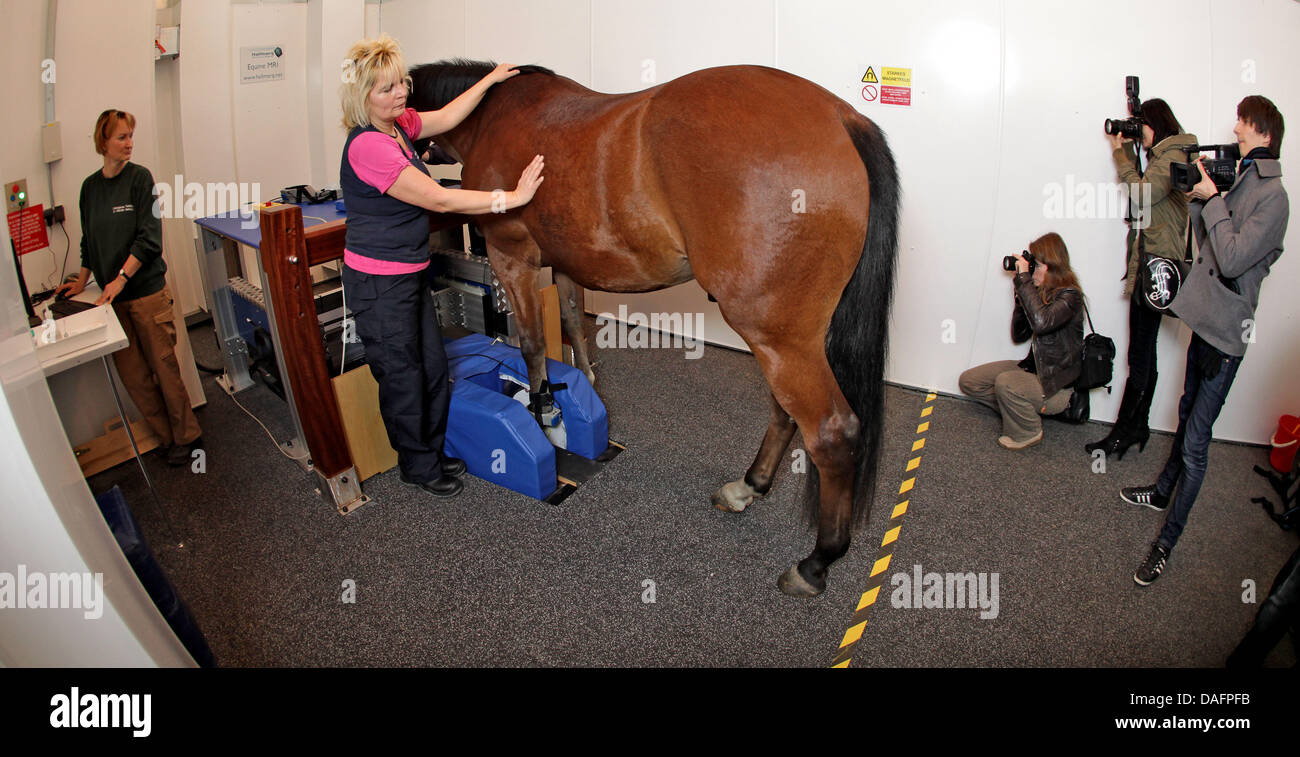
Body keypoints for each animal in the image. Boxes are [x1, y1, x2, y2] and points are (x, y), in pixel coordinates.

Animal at [410, 59, 899, 595]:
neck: (492, 116)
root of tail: (843, 118)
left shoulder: (510, 257)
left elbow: (534, 345)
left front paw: (545, 413)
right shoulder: (566, 265)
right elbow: (574, 325)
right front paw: (582, 391)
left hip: (779, 339)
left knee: (831, 431)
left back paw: (815, 562)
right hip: (789, 340)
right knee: (786, 413)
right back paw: (748, 486)